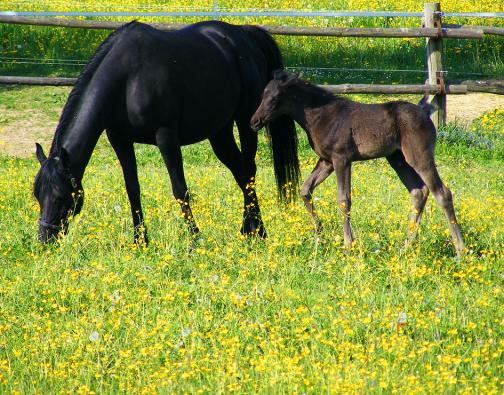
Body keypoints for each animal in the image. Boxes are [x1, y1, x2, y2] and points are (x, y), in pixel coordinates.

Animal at [32, 21, 300, 246]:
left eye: (60, 196)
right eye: (37, 195)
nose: (45, 240)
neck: (127, 79)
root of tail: (243, 34)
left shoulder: (166, 138)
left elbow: (180, 190)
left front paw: (195, 241)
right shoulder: (120, 140)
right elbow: (132, 189)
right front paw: (140, 241)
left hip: (246, 122)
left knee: (250, 172)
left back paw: (258, 232)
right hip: (219, 132)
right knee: (241, 173)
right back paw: (248, 230)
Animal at [252, 71, 464, 256]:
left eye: (276, 98)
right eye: (262, 95)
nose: (254, 122)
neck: (320, 116)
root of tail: (425, 112)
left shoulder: (342, 158)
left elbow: (344, 200)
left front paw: (348, 245)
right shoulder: (327, 161)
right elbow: (305, 190)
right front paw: (320, 237)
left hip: (419, 157)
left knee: (443, 193)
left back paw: (460, 250)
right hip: (398, 160)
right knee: (419, 192)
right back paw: (405, 246)